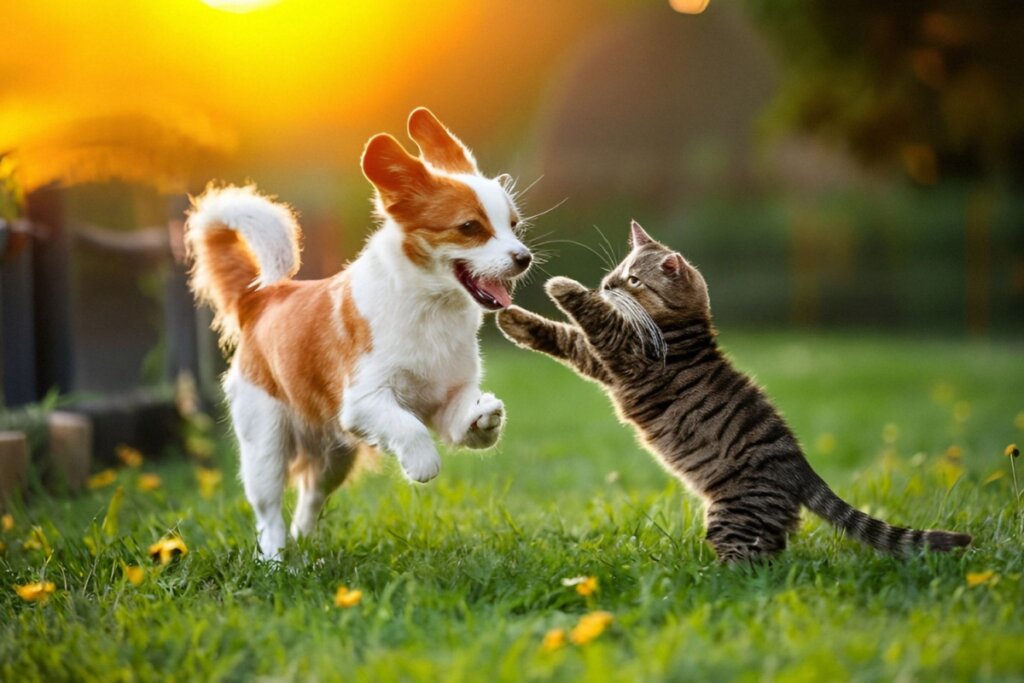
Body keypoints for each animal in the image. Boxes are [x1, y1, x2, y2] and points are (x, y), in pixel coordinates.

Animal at [186, 109, 536, 561]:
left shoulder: (446, 399)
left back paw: (307, 556)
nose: (524, 257)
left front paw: (485, 417)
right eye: (470, 227)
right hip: (265, 445)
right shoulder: (363, 402)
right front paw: (422, 462)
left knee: (309, 500)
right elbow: (409, 428)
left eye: (514, 226)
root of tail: (261, 298)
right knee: (269, 516)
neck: (431, 311)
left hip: (334, 459)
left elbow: (462, 419)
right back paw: (276, 564)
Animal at [499, 222, 970, 565]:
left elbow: (590, 317)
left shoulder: (622, 350)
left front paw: (562, 286)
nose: (605, 284)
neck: (685, 328)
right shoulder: (602, 361)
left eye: (632, 279)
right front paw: (514, 320)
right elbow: (562, 336)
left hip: (735, 516)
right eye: (616, 273)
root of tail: (802, 469)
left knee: (750, 567)